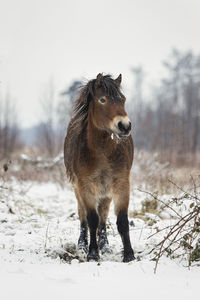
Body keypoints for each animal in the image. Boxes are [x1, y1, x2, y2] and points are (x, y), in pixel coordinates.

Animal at [64, 74, 135, 262]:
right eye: (103, 99)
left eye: (123, 99)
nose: (124, 126)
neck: (102, 151)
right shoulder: (85, 187)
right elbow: (91, 219)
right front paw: (92, 253)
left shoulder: (121, 185)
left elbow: (121, 221)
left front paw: (129, 255)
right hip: (78, 189)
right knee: (83, 216)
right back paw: (82, 244)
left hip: (106, 191)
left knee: (103, 215)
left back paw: (105, 245)